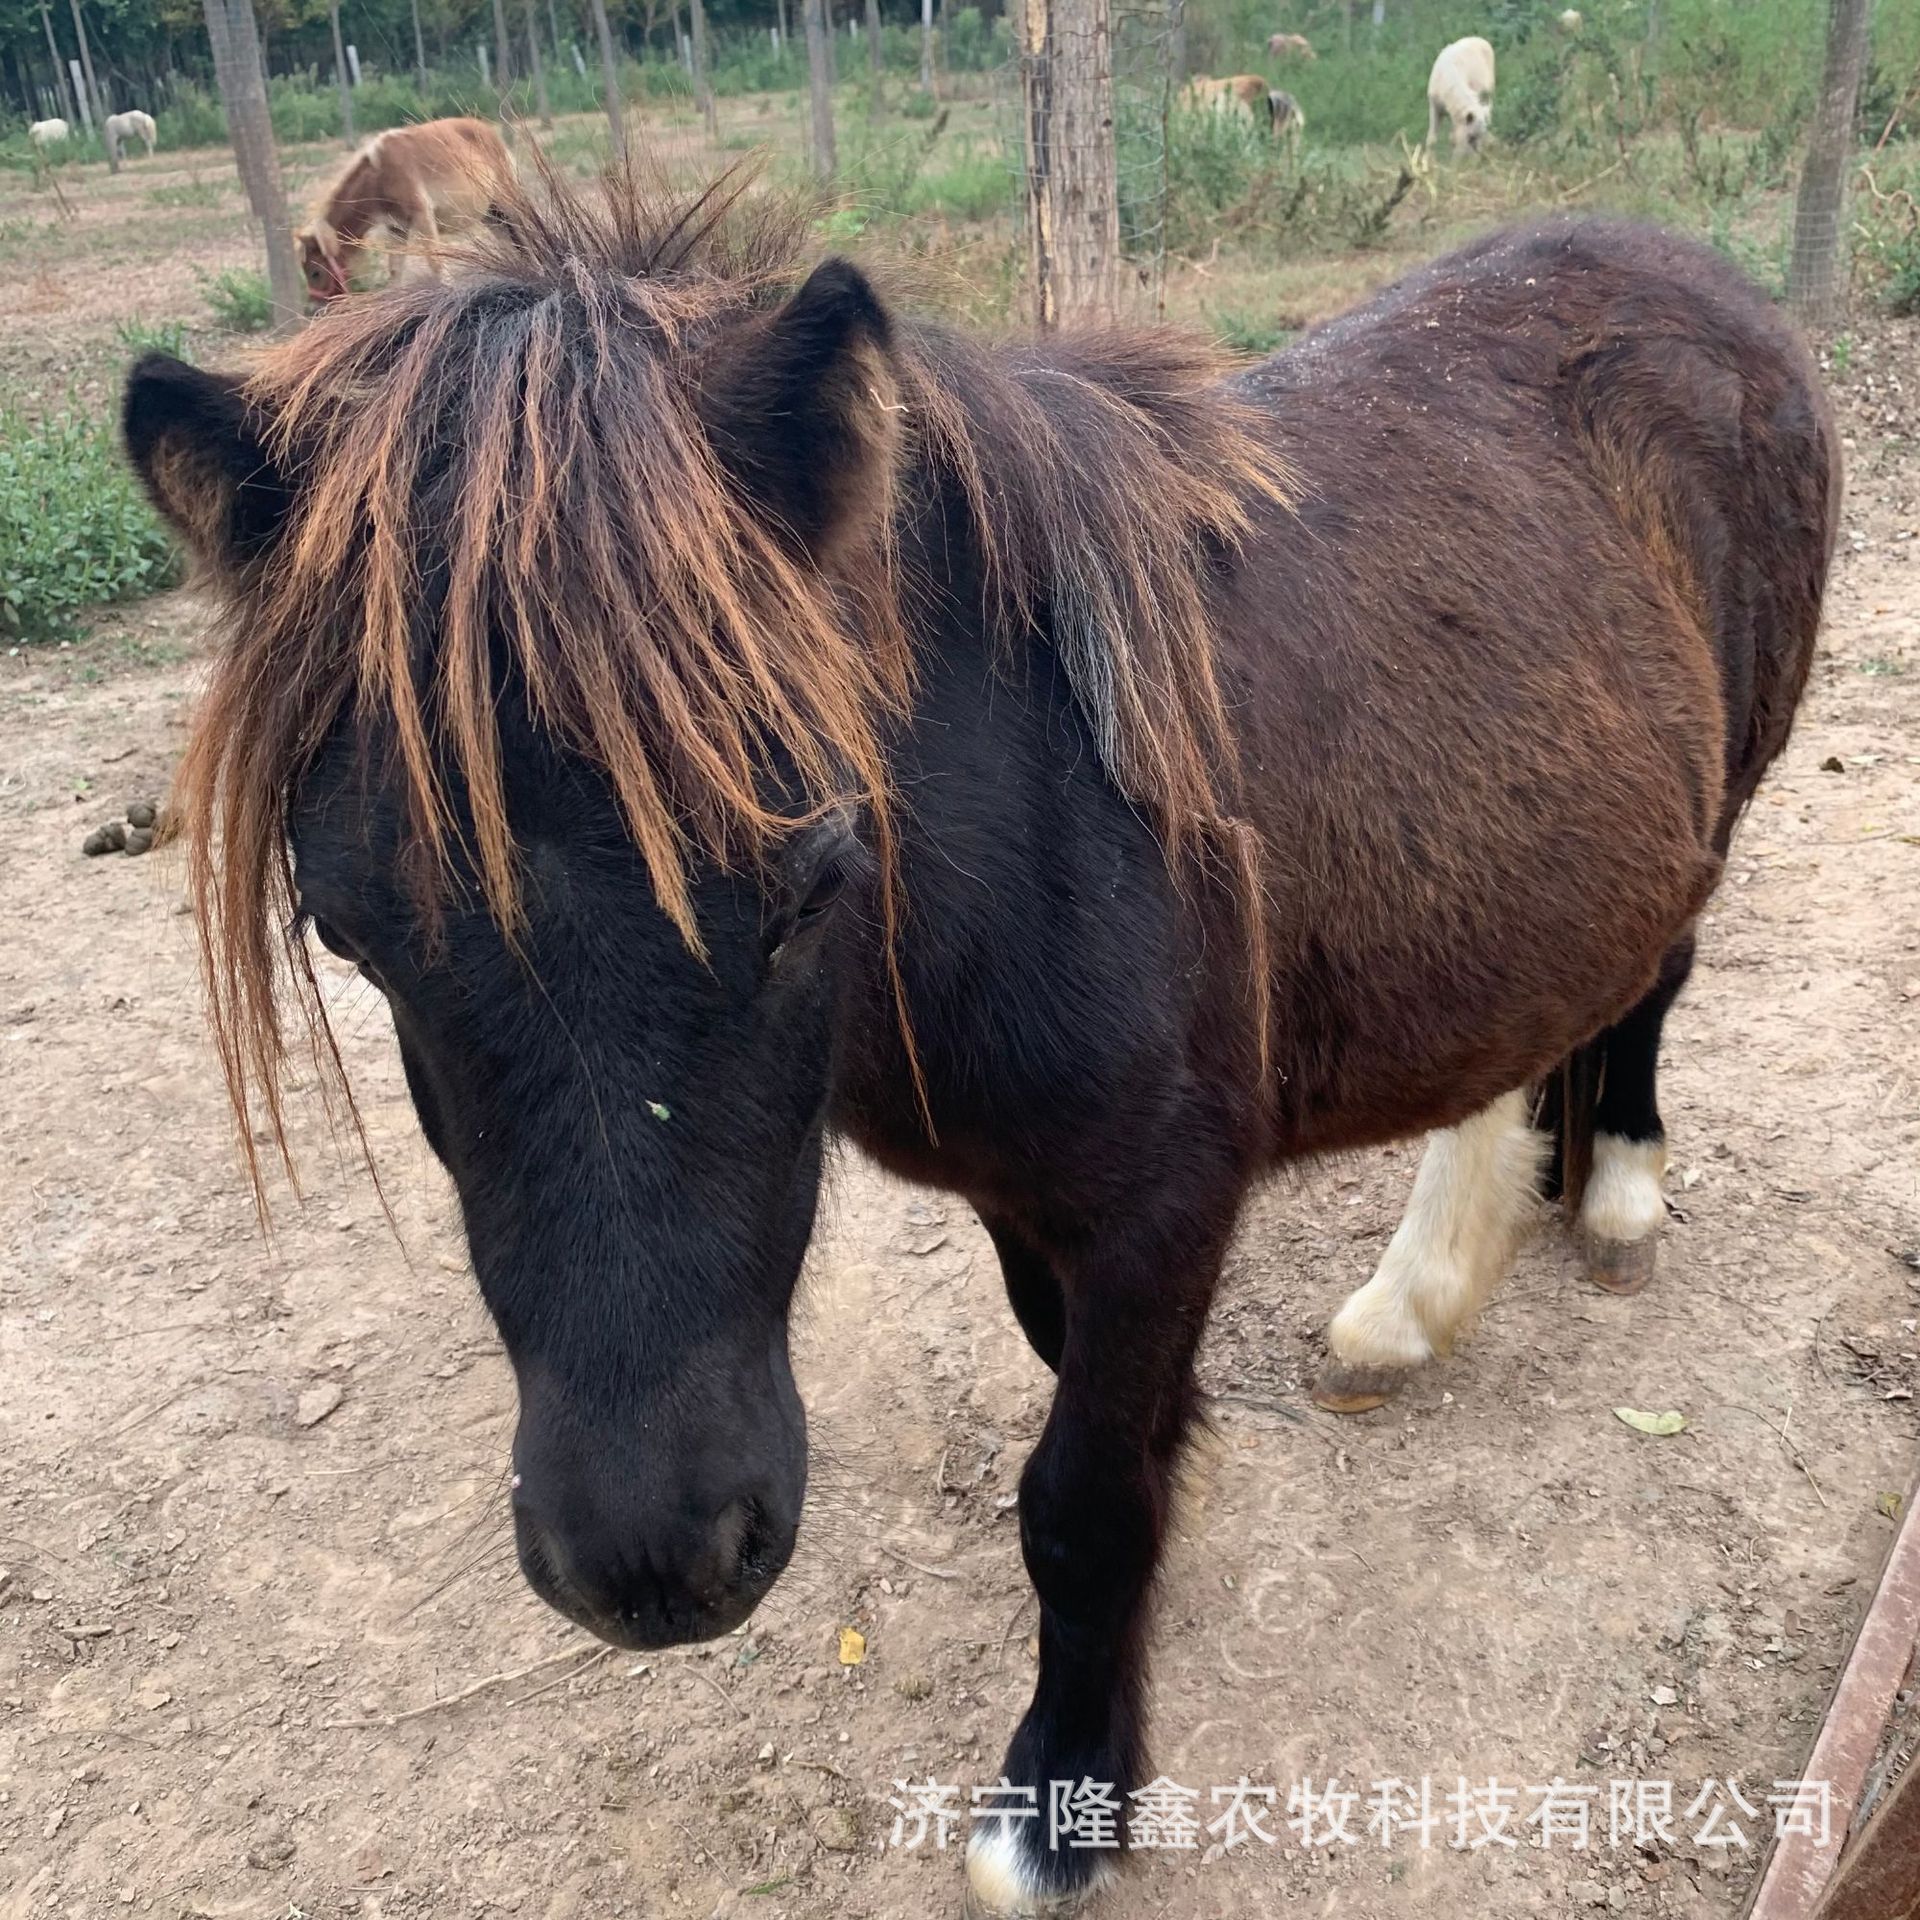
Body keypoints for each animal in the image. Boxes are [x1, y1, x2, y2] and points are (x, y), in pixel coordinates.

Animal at [122, 175, 1835, 1915]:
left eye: (811, 877)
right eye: (348, 934)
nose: (652, 1564)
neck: (1041, 819)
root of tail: (1697, 275)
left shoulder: (1165, 1199)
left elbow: (1079, 1504)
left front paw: (1063, 1798)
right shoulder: (1028, 1196)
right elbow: (1076, 1392)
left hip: (1727, 790)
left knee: (1654, 975)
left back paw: (1610, 1193)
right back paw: (1420, 1296)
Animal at [295, 116, 514, 305]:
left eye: (315, 272)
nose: (314, 307)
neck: (379, 177)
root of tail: (487, 130)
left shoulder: (423, 217)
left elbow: (436, 262)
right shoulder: (397, 229)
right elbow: (395, 271)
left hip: (505, 202)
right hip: (489, 215)